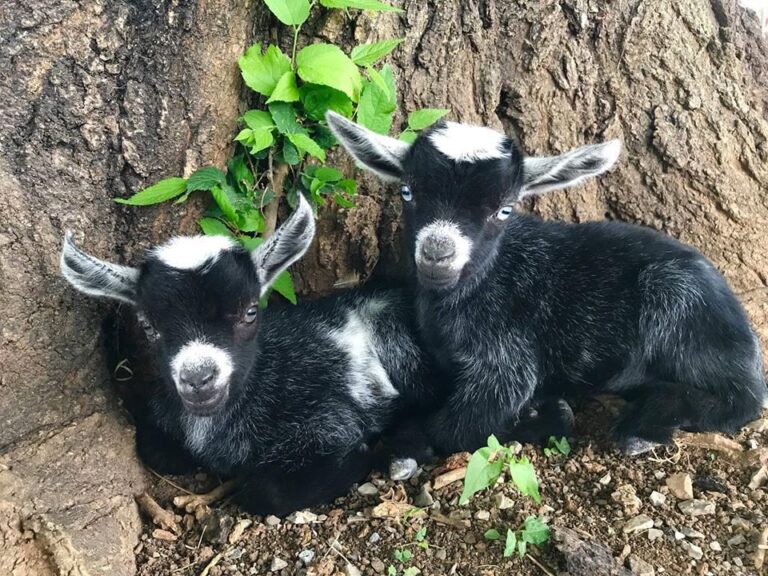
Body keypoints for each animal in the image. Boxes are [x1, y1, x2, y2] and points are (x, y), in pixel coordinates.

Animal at [60, 195, 433, 514]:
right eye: (148, 326)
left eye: (250, 311)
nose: (199, 378)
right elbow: (155, 449)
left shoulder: (329, 422)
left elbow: (265, 492)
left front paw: (362, 456)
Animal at [327, 111, 767, 456]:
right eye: (407, 191)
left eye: (505, 209)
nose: (438, 253)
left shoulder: (507, 361)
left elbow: (456, 429)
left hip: (679, 300)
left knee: (744, 399)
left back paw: (642, 427)